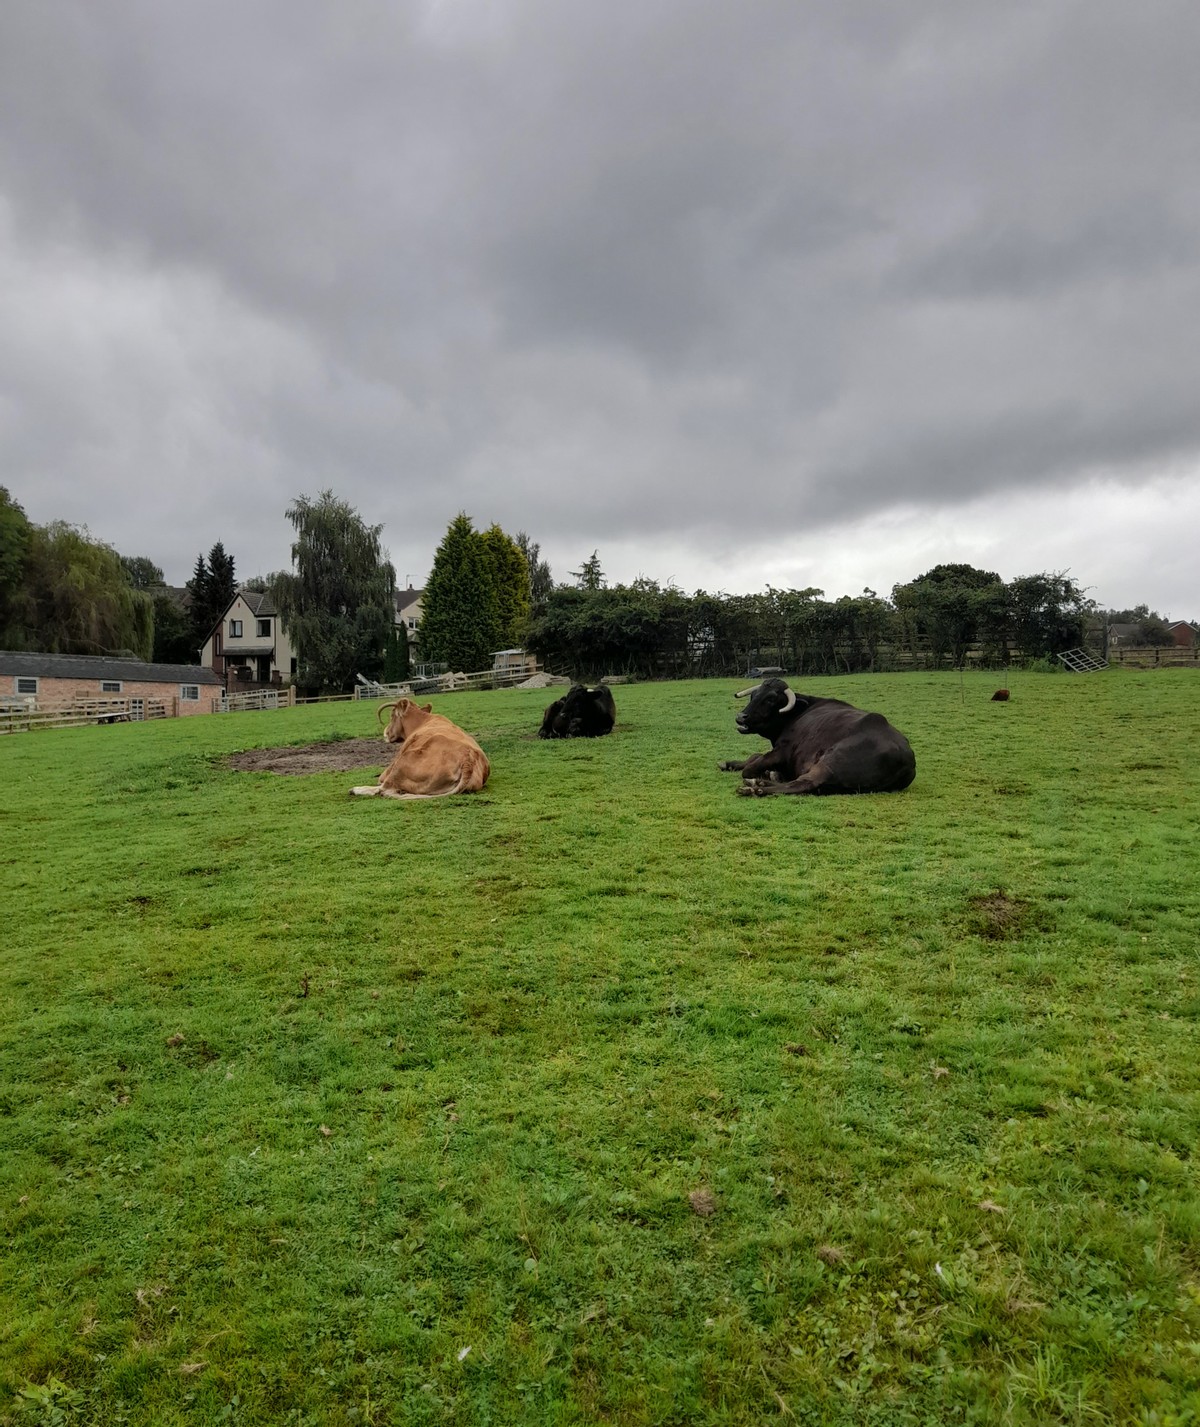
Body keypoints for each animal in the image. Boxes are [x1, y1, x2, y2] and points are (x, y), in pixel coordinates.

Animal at [348, 702, 487, 804]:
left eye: (392, 715)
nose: (385, 733)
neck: (423, 721)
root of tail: (468, 759)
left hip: (403, 760)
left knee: (384, 789)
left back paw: (356, 789)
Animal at [716, 676, 913, 799]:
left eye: (771, 699)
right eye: (753, 695)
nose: (741, 717)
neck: (797, 713)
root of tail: (906, 755)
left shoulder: (783, 751)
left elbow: (751, 766)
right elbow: (754, 756)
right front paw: (730, 763)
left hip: (829, 762)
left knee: (803, 783)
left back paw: (755, 788)